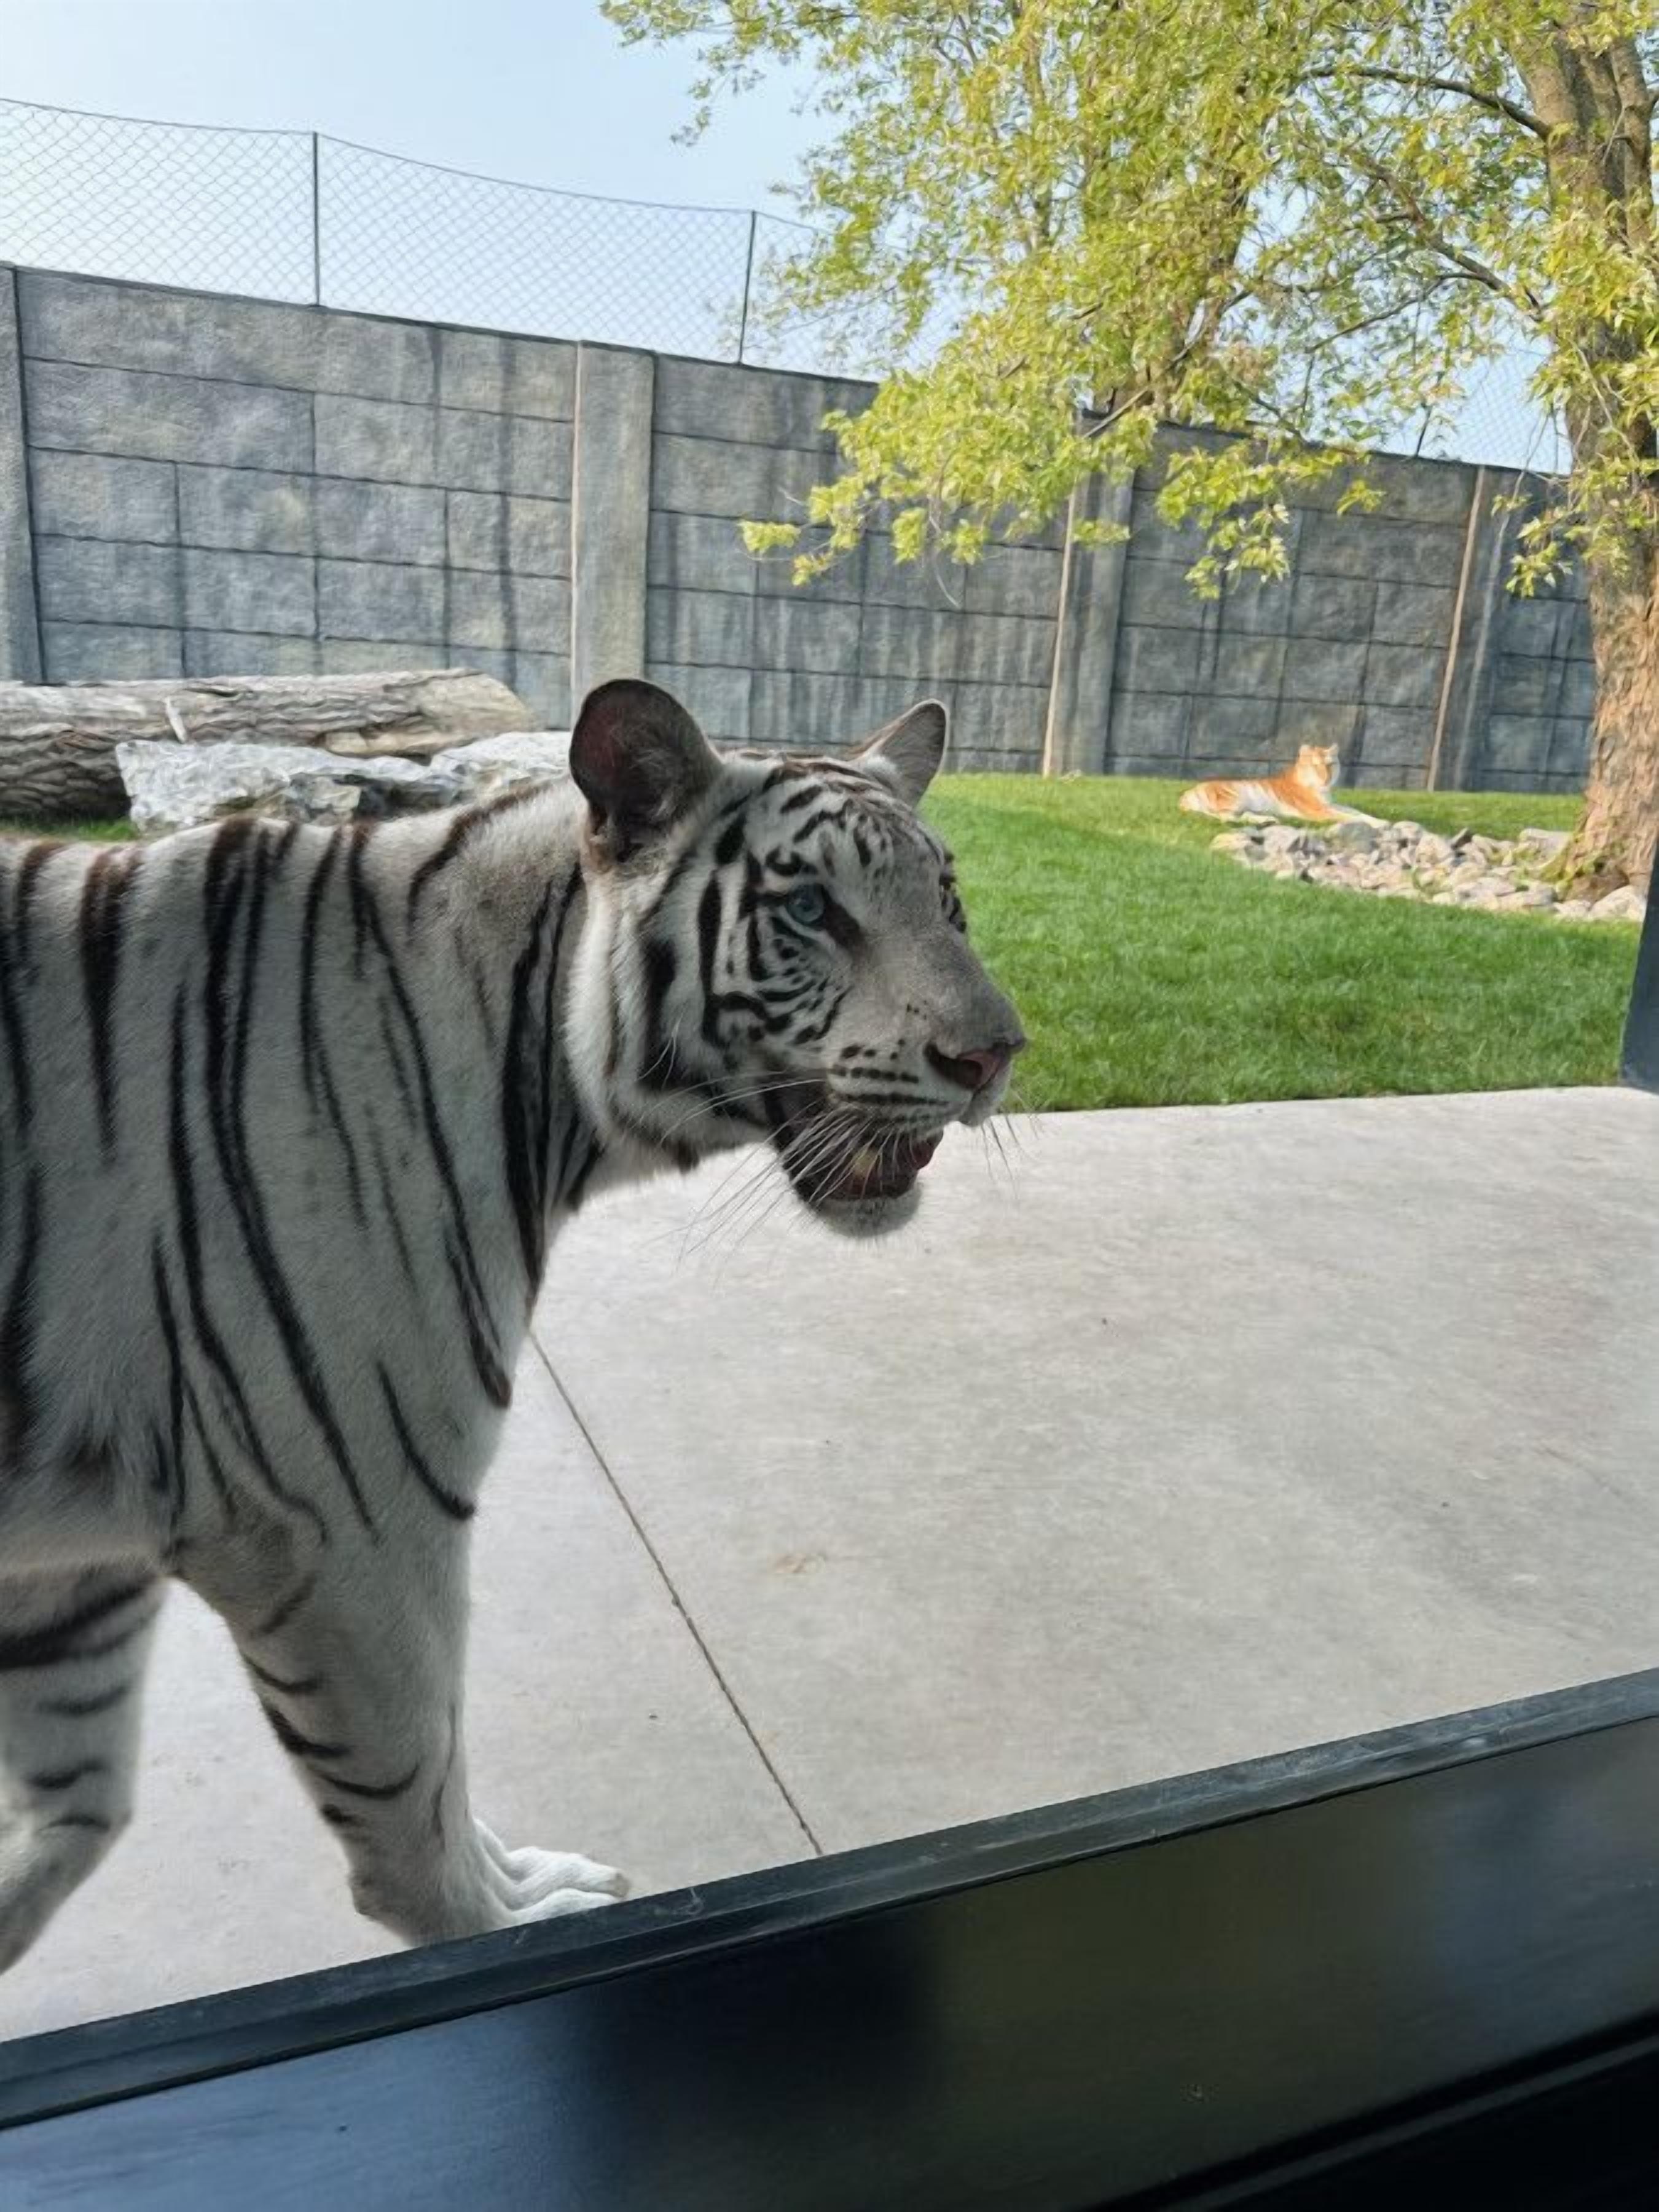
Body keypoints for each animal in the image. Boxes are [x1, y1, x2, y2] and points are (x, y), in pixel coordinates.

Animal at [0, 678, 1023, 1975]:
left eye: (946, 899)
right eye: (811, 910)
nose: (994, 1057)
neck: (542, 1093)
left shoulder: (74, 1570)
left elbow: (80, 1803)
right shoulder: (348, 1522)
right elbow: (413, 1787)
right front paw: (503, 1932)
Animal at [1177, 743, 1378, 824]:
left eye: (1330, 765)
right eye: (1316, 765)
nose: (1326, 778)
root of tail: (1186, 794)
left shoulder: (1330, 804)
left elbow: (1357, 812)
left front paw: (1379, 821)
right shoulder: (1319, 811)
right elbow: (1349, 817)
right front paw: (1374, 825)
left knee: (1243, 815)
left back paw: (1269, 820)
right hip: (1234, 798)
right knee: (1227, 818)